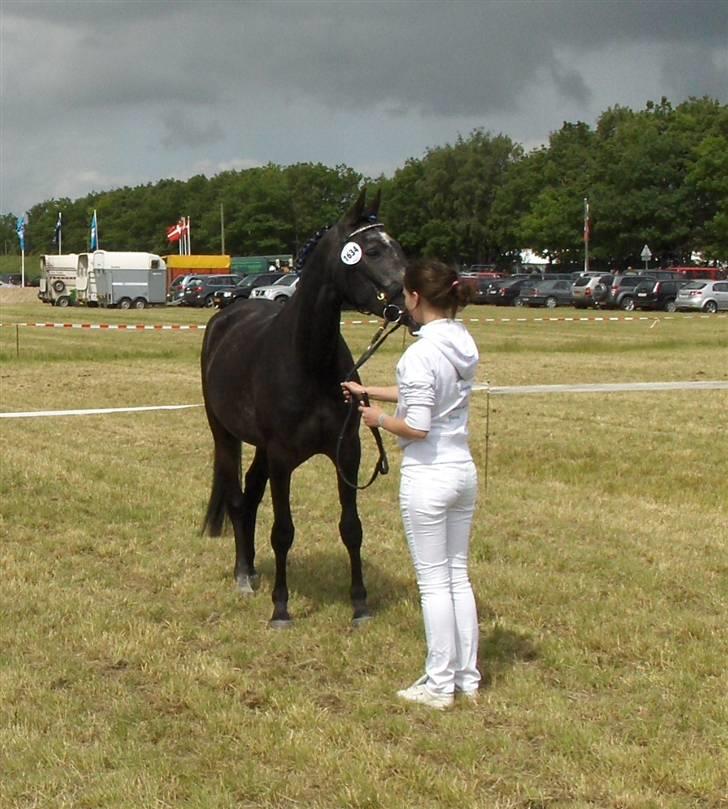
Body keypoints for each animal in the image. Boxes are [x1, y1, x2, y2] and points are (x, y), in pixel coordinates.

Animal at [199, 188, 406, 624]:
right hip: (225, 435)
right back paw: (243, 575)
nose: (407, 304)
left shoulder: (347, 452)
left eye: (397, 246)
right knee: (237, 499)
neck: (308, 360)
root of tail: (228, 312)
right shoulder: (282, 458)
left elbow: (351, 527)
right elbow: (283, 531)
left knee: (250, 496)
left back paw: (252, 569)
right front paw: (281, 607)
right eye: (373, 249)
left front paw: (360, 604)